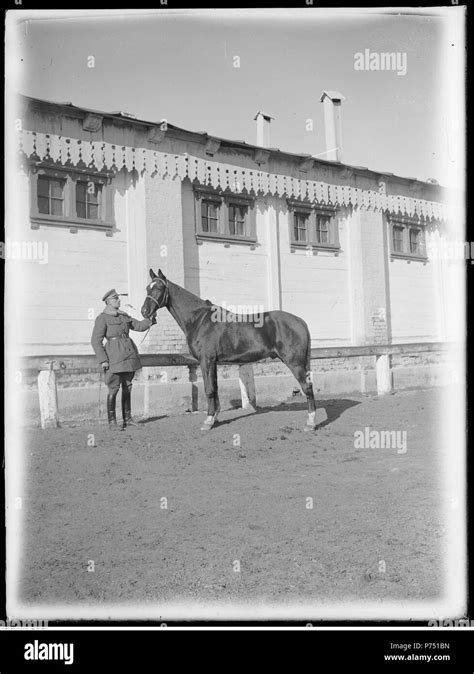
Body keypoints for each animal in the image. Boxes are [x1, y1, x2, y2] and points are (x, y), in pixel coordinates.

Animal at [141, 270, 318, 430]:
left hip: (295, 363)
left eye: (159, 287)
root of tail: (300, 321)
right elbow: (215, 388)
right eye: (147, 288)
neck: (199, 319)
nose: (144, 311)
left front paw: (208, 421)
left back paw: (310, 423)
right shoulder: (213, 362)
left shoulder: (206, 361)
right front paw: (215, 417)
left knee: (307, 388)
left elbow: (209, 389)